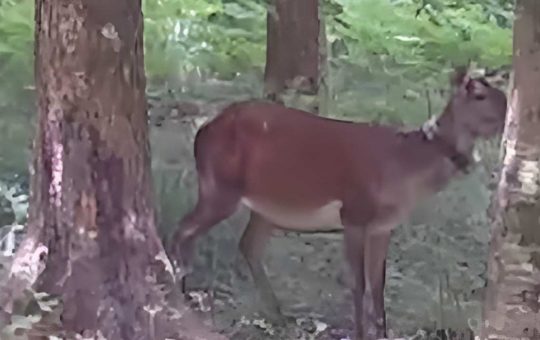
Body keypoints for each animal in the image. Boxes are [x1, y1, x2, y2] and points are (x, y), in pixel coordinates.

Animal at [168, 67, 506, 338]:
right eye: (479, 95)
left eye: (502, 94)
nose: (507, 118)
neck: (404, 168)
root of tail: (203, 130)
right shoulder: (354, 213)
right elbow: (358, 283)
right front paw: (359, 333)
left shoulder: (383, 226)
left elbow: (378, 284)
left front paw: (383, 332)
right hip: (219, 186)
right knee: (182, 229)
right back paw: (180, 294)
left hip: (266, 206)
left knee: (247, 244)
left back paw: (277, 315)